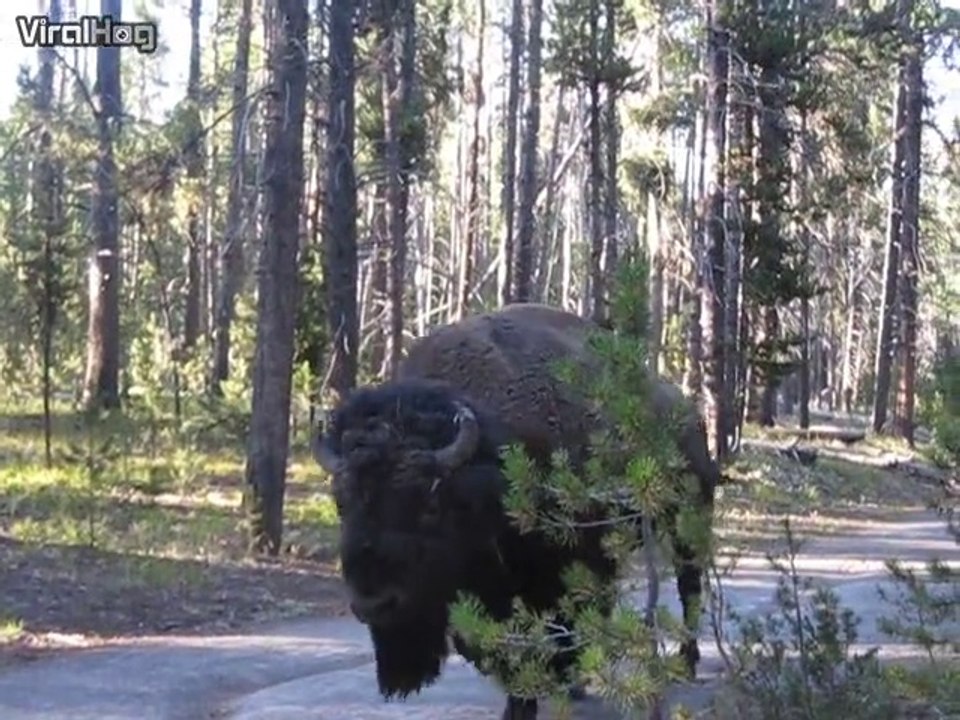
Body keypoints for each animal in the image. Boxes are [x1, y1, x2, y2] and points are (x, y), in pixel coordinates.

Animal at [313, 304, 719, 720]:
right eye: (342, 502)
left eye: (430, 505)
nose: (374, 603)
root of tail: (687, 411)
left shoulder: (558, 573)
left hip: (687, 518)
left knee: (689, 587)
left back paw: (685, 663)